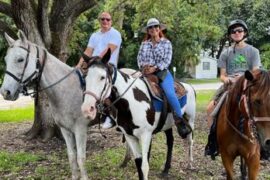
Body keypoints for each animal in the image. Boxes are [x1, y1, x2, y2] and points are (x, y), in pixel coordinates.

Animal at [0, 30, 89, 179]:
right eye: (6, 60)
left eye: (20, 59)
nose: (5, 92)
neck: (67, 89)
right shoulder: (66, 130)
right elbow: (72, 156)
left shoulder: (80, 129)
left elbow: (81, 159)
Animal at [80, 50, 196, 179]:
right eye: (85, 77)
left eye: (102, 77)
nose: (87, 108)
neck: (130, 102)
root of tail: (189, 87)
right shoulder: (129, 135)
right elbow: (138, 163)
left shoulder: (146, 135)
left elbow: (144, 166)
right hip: (168, 124)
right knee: (170, 142)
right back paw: (166, 170)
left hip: (190, 119)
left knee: (190, 140)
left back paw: (190, 163)